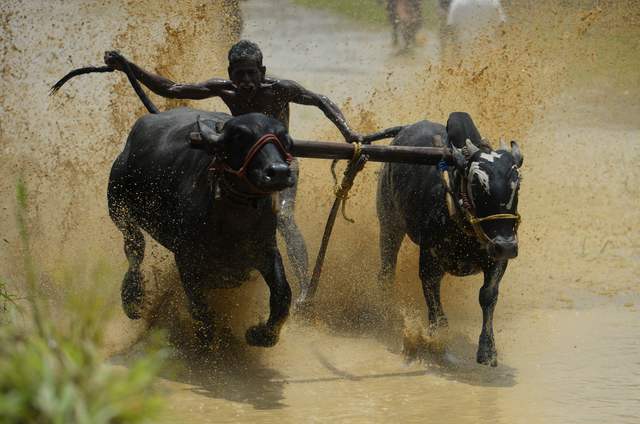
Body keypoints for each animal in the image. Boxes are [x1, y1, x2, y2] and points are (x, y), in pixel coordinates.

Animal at [109, 108, 296, 348]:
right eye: (241, 136)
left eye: (284, 139)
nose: (279, 172)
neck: (233, 221)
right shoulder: (186, 258)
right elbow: (198, 302)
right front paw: (205, 339)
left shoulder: (265, 249)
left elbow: (282, 294)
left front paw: (261, 335)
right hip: (118, 206)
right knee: (134, 249)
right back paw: (132, 298)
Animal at [378, 111, 524, 366]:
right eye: (476, 181)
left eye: (518, 181)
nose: (506, 245)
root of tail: (403, 131)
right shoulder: (430, 262)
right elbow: (435, 305)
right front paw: (439, 346)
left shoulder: (497, 260)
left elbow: (488, 296)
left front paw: (487, 351)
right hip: (389, 223)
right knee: (386, 272)